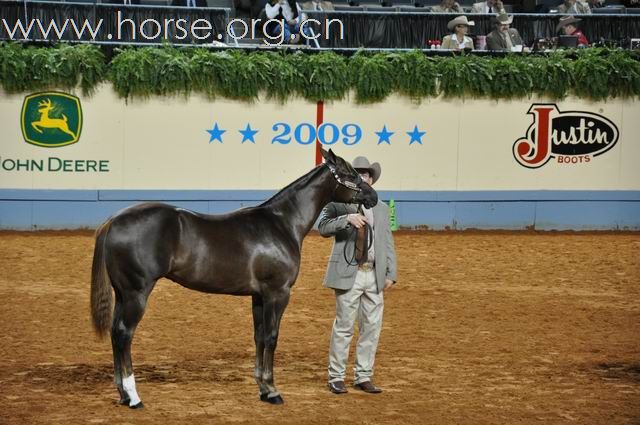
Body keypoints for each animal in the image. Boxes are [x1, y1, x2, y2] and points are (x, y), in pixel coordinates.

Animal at [92, 147, 378, 406]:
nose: (373, 196)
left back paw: (122, 394)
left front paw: (263, 389)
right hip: (136, 293)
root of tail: (114, 220)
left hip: (123, 294)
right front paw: (273, 391)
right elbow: (272, 337)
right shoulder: (278, 293)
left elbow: (259, 337)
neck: (282, 224)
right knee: (124, 334)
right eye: (350, 174)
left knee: (116, 334)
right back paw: (133, 397)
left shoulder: (259, 296)